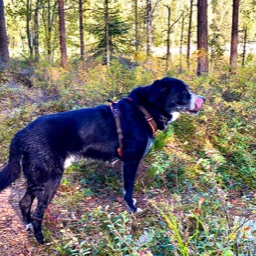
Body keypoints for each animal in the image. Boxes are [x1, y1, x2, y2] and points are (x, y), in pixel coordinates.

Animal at [0, 77, 204, 243]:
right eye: (184, 92)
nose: (203, 99)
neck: (144, 110)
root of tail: (21, 134)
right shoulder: (131, 161)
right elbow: (128, 189)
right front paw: (132, 209)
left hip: (35, 177)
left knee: (24, 202)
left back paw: (28, 226)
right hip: (50, 179)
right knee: (38, 212)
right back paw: (41, 239)